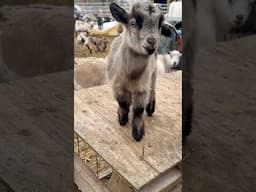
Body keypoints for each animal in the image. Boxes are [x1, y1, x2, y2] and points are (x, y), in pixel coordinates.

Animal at [107, 2, 165, 141]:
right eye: (133, 23)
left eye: (160, 26)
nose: (152, 42)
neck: (131, 74)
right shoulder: (117, 86)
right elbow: (123, 103)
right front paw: (122, 119)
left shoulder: (142, 89)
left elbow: (138, 110)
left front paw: (138, 133)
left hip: (153, 74)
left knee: (153, 90)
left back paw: (150, 108)